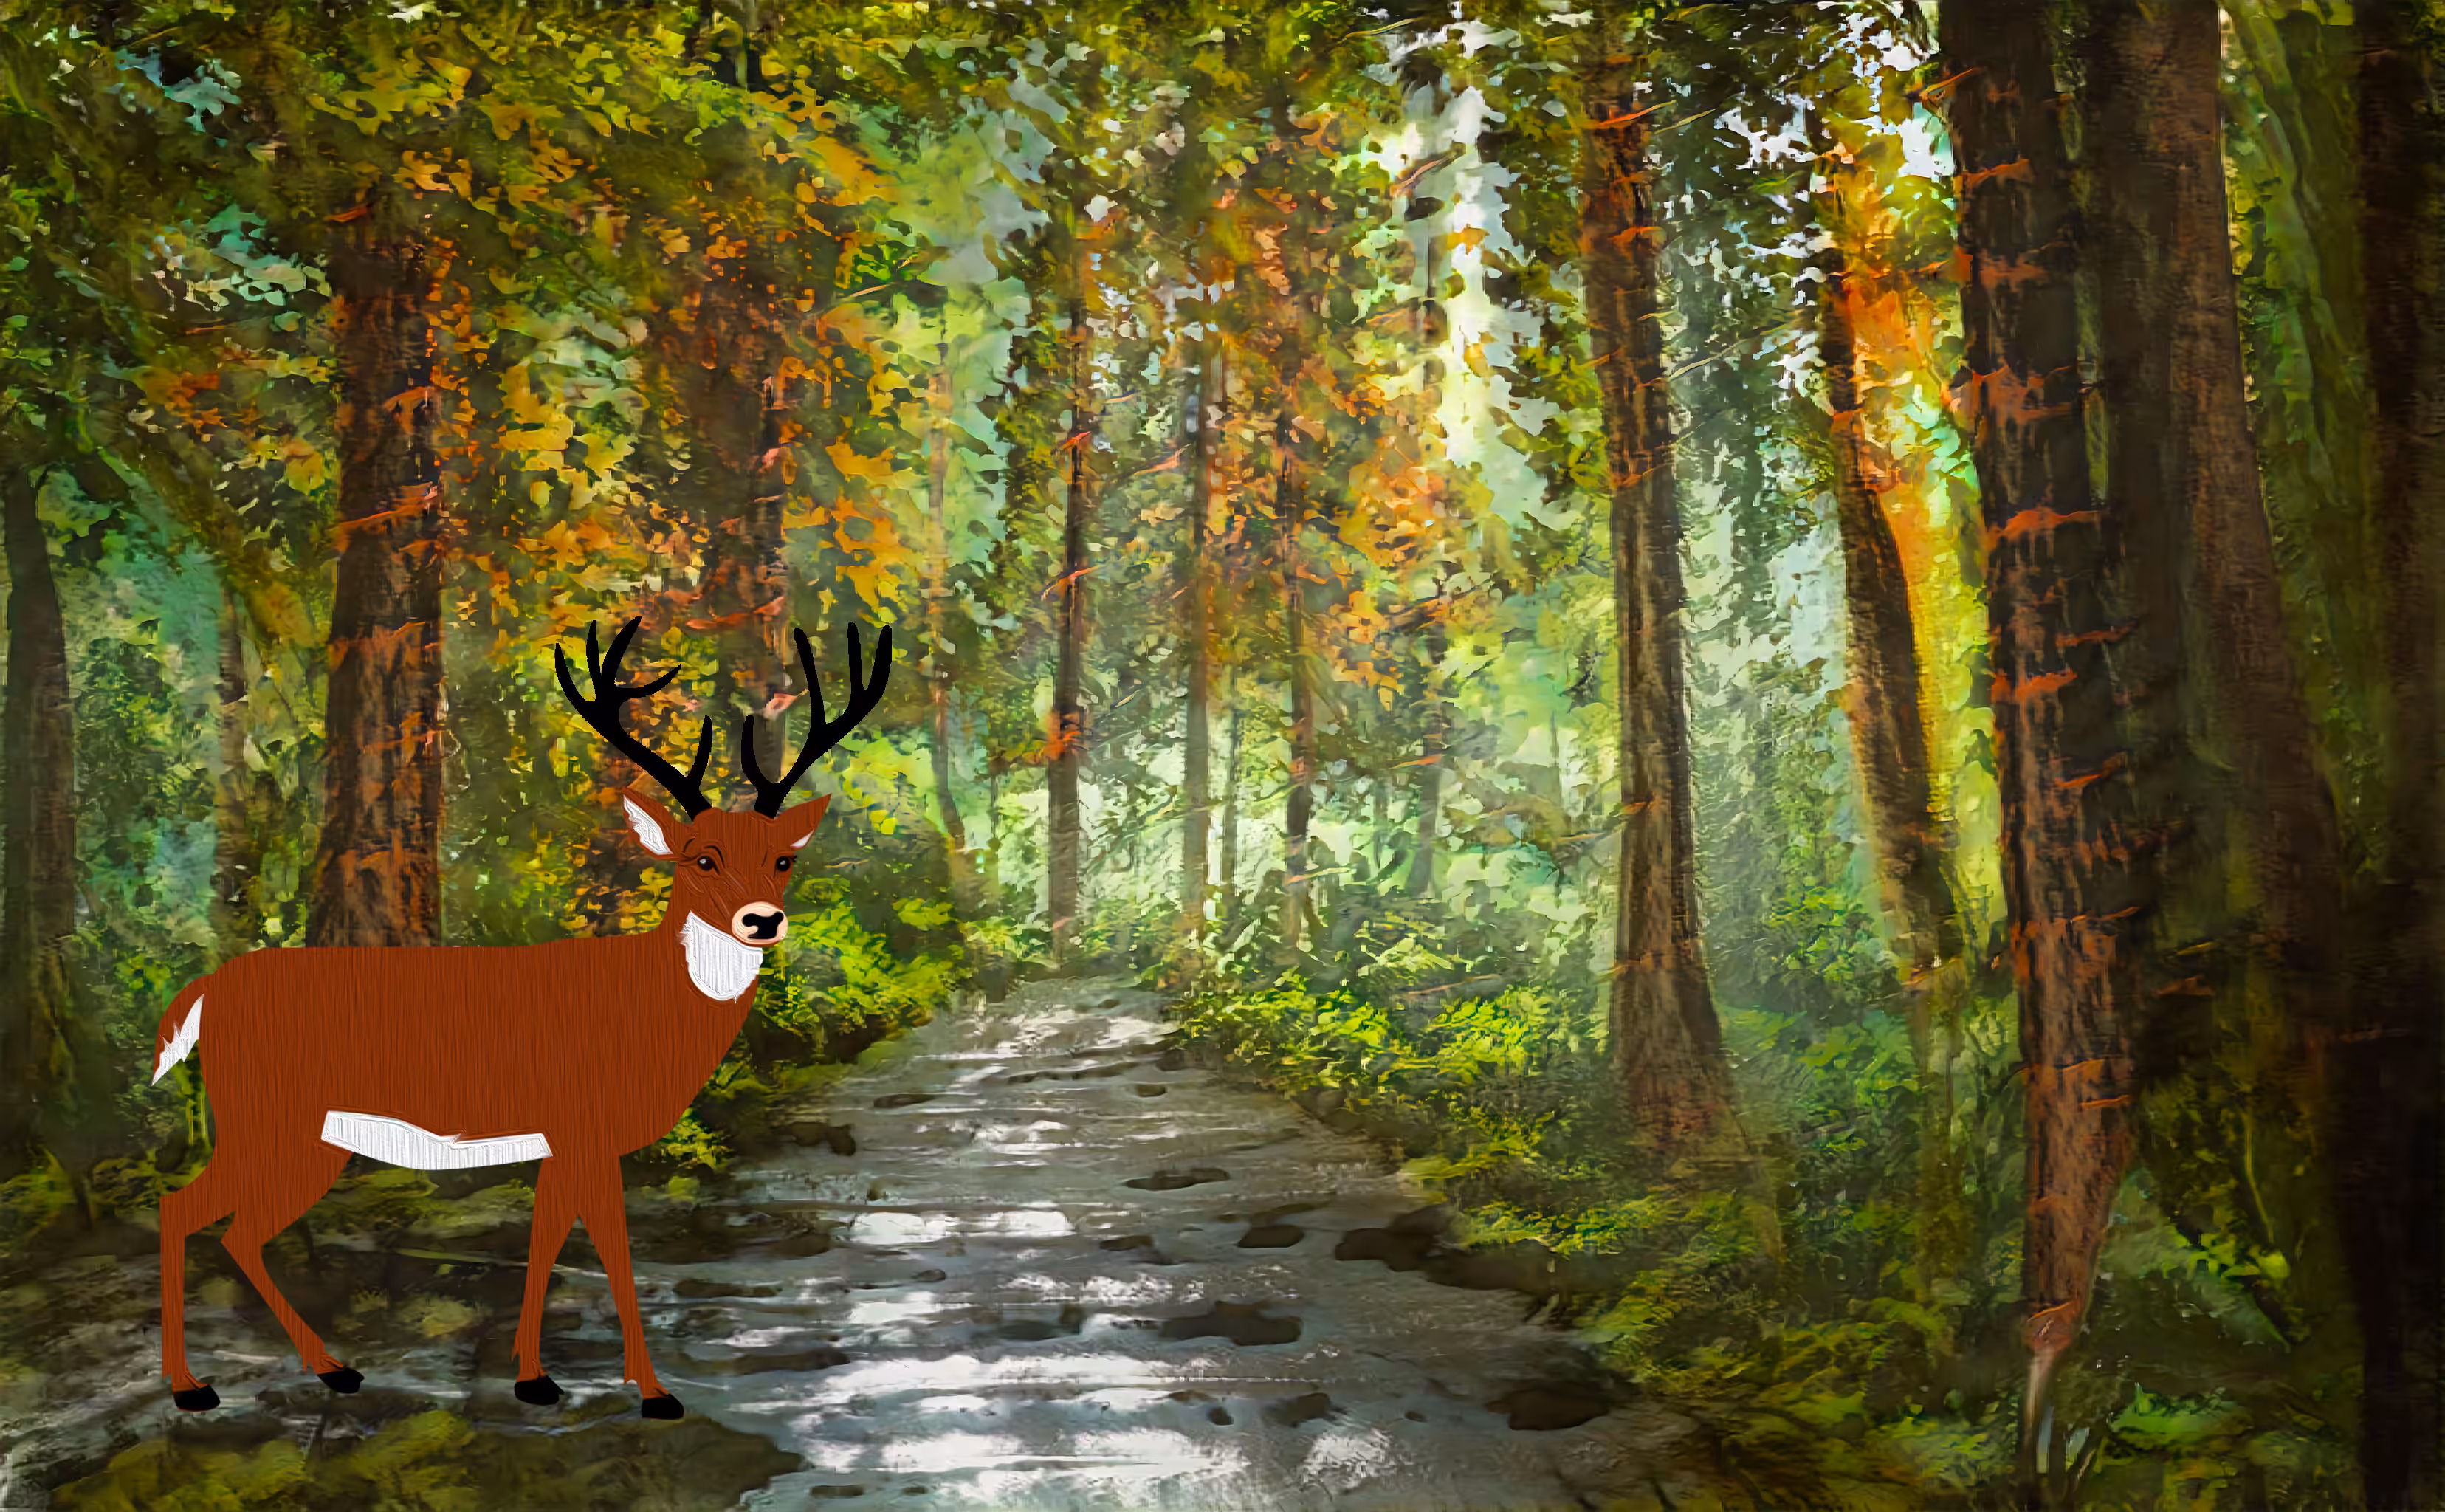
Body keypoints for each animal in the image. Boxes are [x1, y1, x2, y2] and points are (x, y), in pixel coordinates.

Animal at [149, 614, 891, 1421]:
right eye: (700, 857)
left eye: (784, 859)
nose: (763, 920)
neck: (649, 1006)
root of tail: (204, 991)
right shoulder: (584, 1123)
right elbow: (612, 1252)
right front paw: (654, 1390)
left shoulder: (560, 1139)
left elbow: (545, 1244)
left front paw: (534, 1377)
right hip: (268, 1116)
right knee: (184, 1209)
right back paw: (195, 1387)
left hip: (299, 1133)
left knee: (228, 1230)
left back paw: (332, 1370)